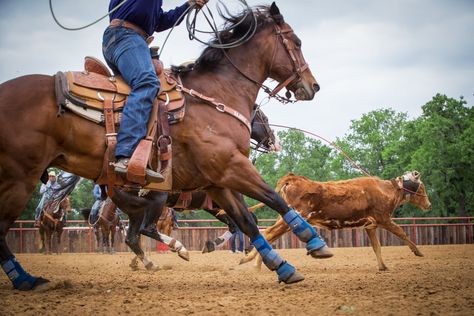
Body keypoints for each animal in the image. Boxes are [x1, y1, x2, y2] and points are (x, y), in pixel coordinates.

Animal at [0, 3, 322, 288]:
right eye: (297, 41)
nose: (313, 86)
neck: (214, 95)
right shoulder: (231, 168)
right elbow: (274, 199)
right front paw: (313, 240)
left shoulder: (218, 181)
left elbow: (247, 221)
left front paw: (281, 266)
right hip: (22, 179)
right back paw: (27, 279)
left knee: (134, 235)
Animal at [243, 172, 432, 270]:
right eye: (421, 187)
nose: (428, 204)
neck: (386, 190)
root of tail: (295, 178)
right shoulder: (384, 219)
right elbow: (401, 232)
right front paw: (418, 251)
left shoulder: (370, 226)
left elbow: (376, 246)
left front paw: (382, 267)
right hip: (293, 217)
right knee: (268, 233)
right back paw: (251, 261)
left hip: (285, 218)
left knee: (269, 235)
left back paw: (257, 264)